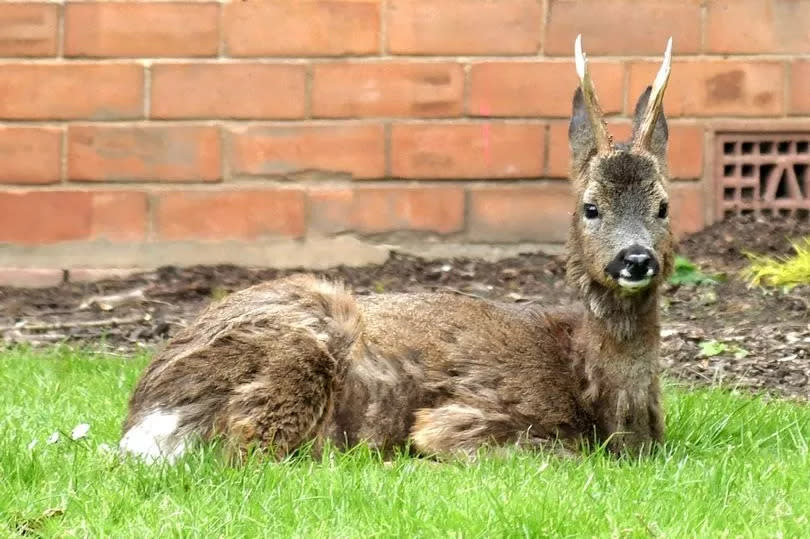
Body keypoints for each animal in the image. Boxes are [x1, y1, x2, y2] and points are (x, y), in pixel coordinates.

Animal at [118, 35, 676, 464]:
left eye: (664, 206)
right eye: (590, 207)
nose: (635, 258)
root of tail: (142, 417)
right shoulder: (469, 417)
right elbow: (548, 452)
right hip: (302, 345)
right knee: (253, 450)